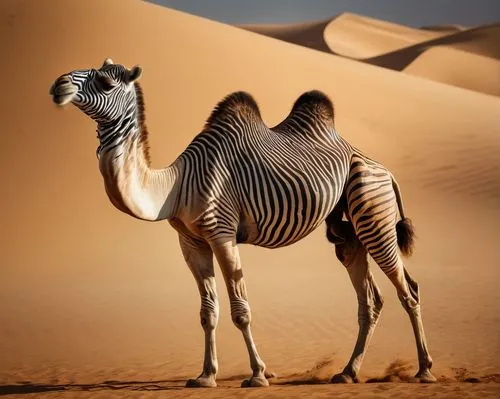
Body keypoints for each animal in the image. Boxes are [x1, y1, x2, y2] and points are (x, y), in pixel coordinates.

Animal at [48, 58, 436, 388]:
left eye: (105, 81)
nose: (58, 84)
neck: (176, 185)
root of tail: (384, 170)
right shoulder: (191, 242)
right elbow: (208, 311)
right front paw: (205, 376)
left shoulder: (221, 232)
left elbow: (240, 311)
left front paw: (258, 374)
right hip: (348, 231)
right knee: (371, 299)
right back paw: (347, 372)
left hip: (374, 210)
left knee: (408, 291)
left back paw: (424, 371)